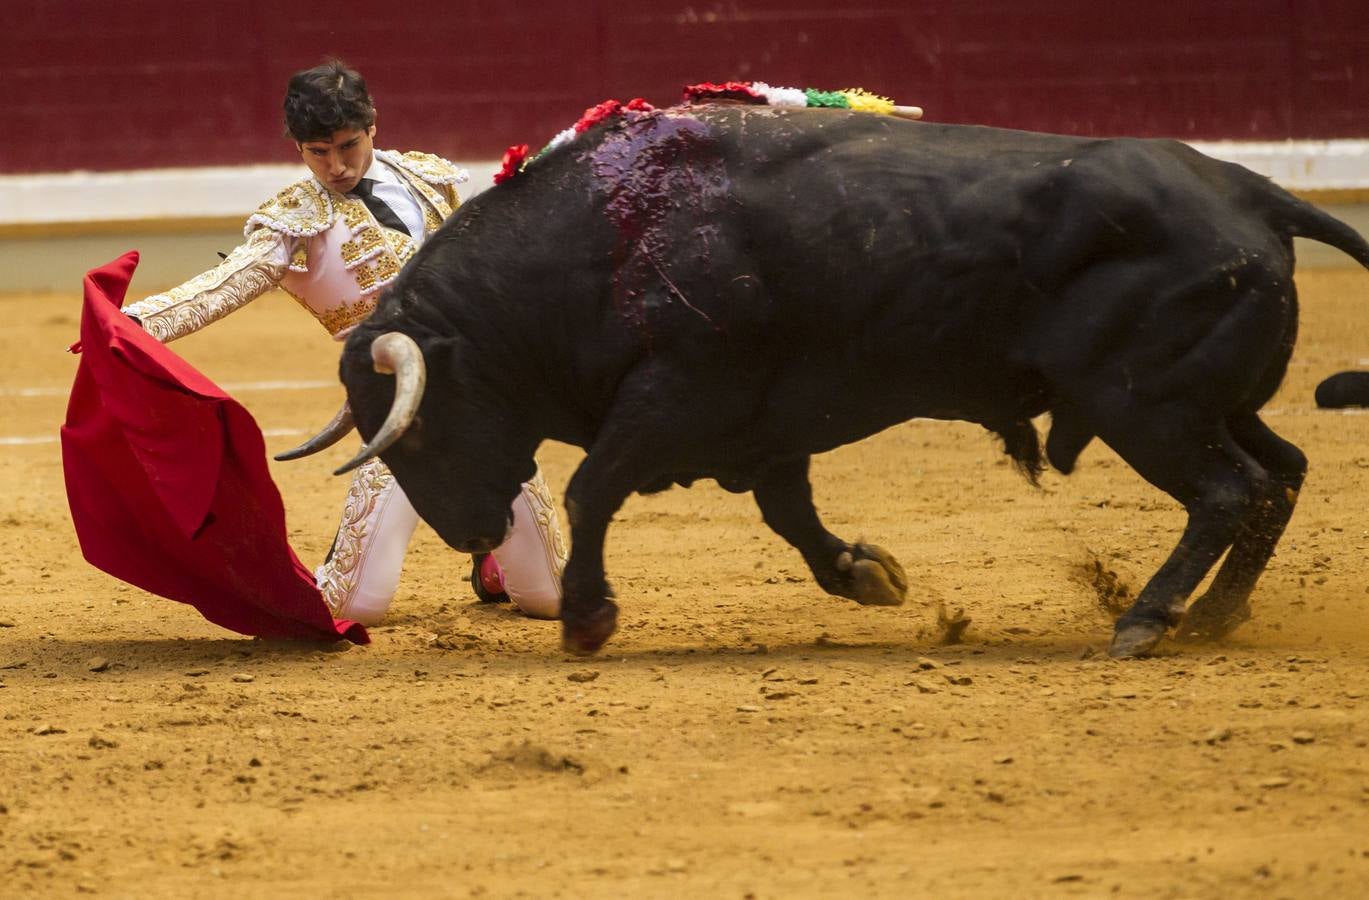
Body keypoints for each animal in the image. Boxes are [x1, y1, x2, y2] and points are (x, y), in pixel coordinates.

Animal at [323, 105, 1369, 657]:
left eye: (416, 428)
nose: (471, 534)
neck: (598, 239)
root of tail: (1251, 192)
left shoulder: (678, 394)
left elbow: (590, 489)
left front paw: (586, 619)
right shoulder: (764, 428)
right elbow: (790, 515)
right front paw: (869, 574)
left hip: (1143, 406)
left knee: (1229, 490)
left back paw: (1147, 619)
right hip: (1208, 402)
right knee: (1278, 476)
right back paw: (1215, 617)